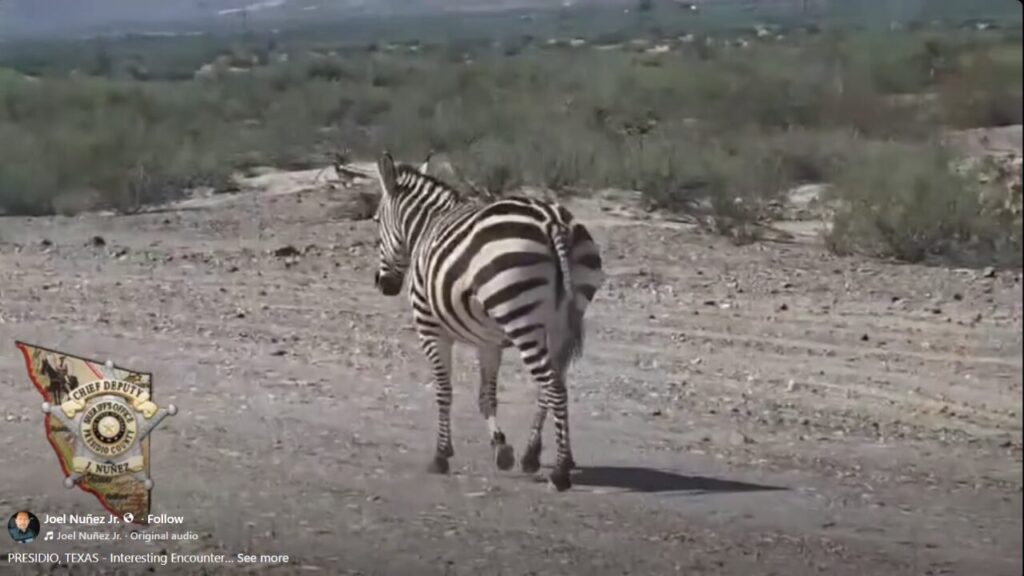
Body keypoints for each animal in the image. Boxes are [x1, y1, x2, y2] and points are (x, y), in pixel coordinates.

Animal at [371, 152, 604, 491]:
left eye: (375, 221)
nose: (382, 284)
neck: (427, 226)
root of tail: (553, 221)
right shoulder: (489, 341)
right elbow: (486, 396)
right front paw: (501, 448)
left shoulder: (430, 328)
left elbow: (444, 390)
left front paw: (441, 455)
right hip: (561, 319)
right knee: (553, 384)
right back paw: (534, 456)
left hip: (520, 317)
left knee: (552, 385)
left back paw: (560, 471)